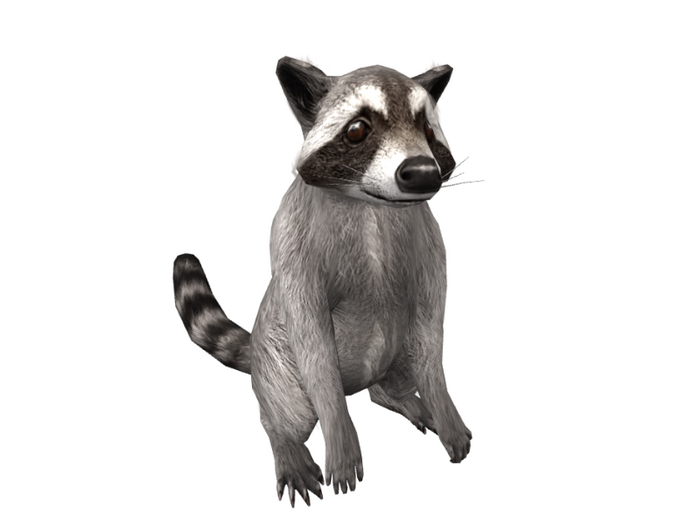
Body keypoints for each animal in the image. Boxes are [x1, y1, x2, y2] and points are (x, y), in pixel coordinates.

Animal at [173, 57, 472, 507]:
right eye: (358, 129)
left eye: (426, 129)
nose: (422, 174)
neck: (372, 206)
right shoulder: (291, 241)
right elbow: (313, 338)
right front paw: (339, 438)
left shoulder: (430, 246)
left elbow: (432, 339)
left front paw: (443, 405)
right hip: (276, 359)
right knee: (286, 410)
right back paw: (287, 442)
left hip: (394, 350)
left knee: (407, 364)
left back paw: (402, 397)